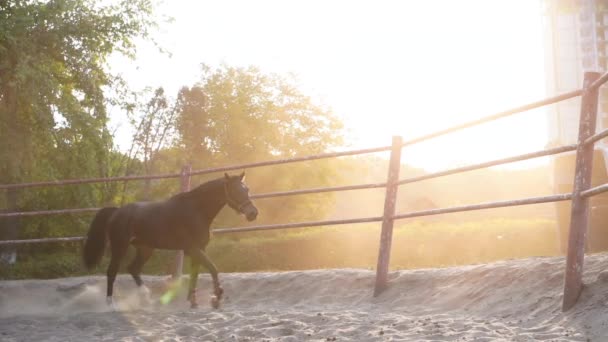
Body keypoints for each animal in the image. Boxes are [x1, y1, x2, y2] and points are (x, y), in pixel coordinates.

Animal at [82, 172, 256, 308]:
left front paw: (193, 301)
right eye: (235, 190)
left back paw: (146, 297)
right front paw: (216, 297)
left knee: (133, 268)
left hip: (145, 249)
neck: (196, 211)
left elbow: (195, 274)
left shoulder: (199, 250)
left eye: (246, 189)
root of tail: (116, 212)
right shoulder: (192, 249)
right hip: (120, 247)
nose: (253, 213)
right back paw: (110, 303)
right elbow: (213, 268)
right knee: (112, 271)